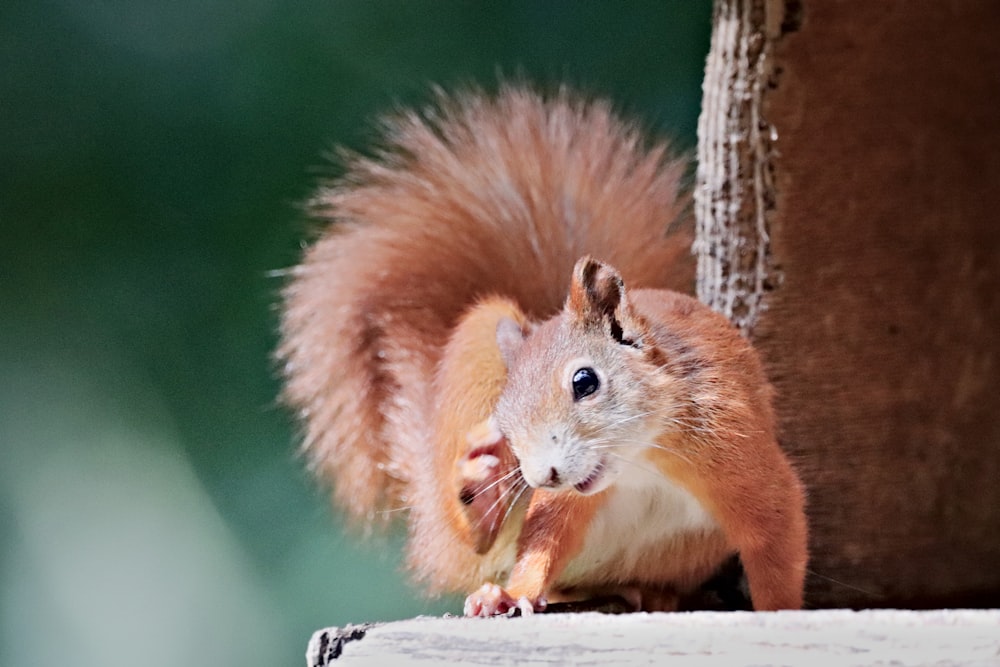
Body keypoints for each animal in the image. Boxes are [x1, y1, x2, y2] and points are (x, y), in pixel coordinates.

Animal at [278, 83, 808, 616]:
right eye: (504, 415)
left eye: (585, 381)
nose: (544, 475)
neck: (642, 463)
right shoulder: (569, 497)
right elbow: (544, 541)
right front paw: (510, 593)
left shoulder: (738, 454)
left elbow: (776, 538)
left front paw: (779, 614)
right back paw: (481, 499)